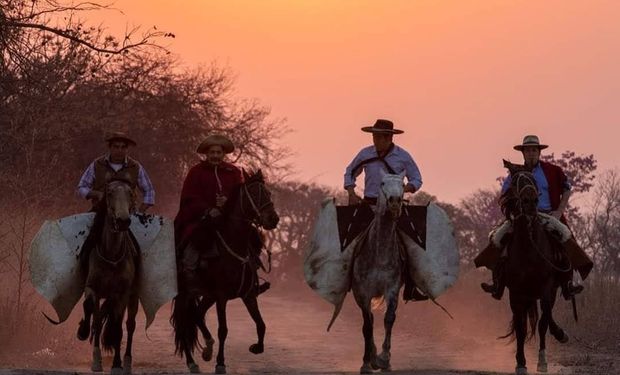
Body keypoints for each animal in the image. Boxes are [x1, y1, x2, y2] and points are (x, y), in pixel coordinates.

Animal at [76, 181, 140, 374]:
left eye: (130, 193)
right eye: (109, 193)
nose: (123, 221)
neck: (111, 256)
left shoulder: (122, 294)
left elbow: (118, 328)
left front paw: (117, 365)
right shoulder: (92, 288)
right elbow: (93, 314)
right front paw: (95, 360)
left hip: (133, 297)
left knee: (130, 325)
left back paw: (127, 363)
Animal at [168, 171, 278, 375]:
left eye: (268, 192)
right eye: (254, 193)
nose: (273, 219)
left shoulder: (249, 296)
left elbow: (261, 324)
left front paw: (257, 347)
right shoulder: (221, 297)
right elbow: (223, 330)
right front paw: (220, 363)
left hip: (206, 295)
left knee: (197, 315)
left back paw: (207, 350)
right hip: (185, 294)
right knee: (185, 322)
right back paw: (192, 363)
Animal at [352, 172, 410, 374]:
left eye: (403, 184)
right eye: (382, 183)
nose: (394, 201)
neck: (380, 253)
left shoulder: (392, 288)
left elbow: (389, 318)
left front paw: (385, 359)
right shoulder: (363, 292)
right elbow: (367, 326)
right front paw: (366, 363)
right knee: (367, 320)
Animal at [502, 160, 568, 374]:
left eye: (532, 179)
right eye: (515, 181)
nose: (530, 201)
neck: (529, 246)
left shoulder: (547, 288)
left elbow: (542, 323)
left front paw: (542, 360)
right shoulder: (516, 293)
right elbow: (521, 327)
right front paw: (520, 362)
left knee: (545, 318)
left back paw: (559, 334)